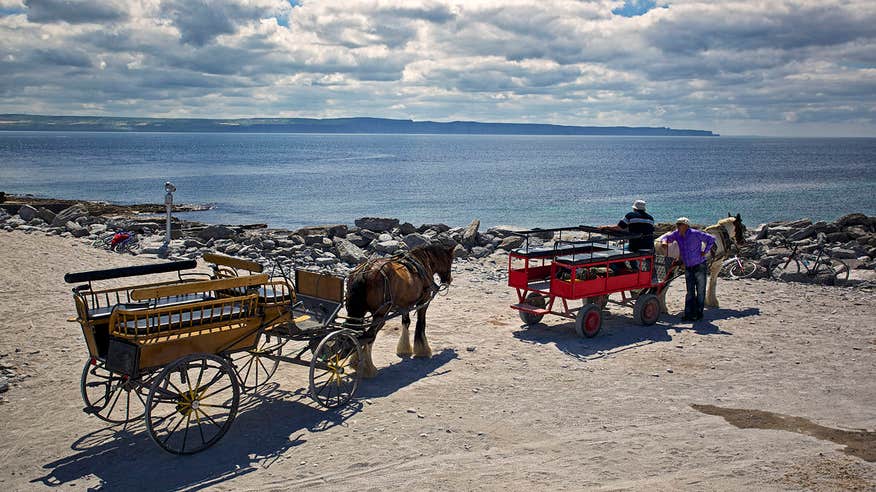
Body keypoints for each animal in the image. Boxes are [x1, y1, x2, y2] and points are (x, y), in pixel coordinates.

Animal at [342, 245, 456, 376]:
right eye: (450, 261)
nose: (449, 279)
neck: (423, 261)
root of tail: (364, 272)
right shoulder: (424, 301)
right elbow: (421, 323)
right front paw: (422, 350)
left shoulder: (404, 305)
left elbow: (406, 323)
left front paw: (404, 349)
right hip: (380, 316)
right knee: (369, 336)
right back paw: (368, 368)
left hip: (358, 312)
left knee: (357, 333)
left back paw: (357, 362)